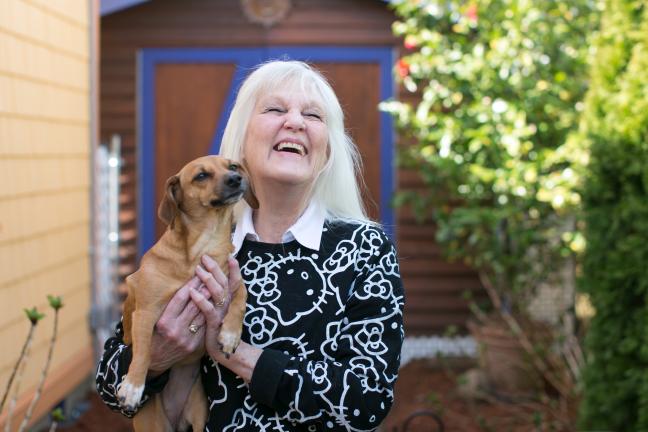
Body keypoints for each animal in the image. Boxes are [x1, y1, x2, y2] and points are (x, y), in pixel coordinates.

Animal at [117, 156, 256, 432]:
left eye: (232, 167)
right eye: (201, 176)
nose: (236, 179)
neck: (203, 247)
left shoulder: (230, 281)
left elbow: (240, 297)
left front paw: (230, 334)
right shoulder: (145, 313)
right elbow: (143, 351)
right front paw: (133, 386)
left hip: (200, 414)